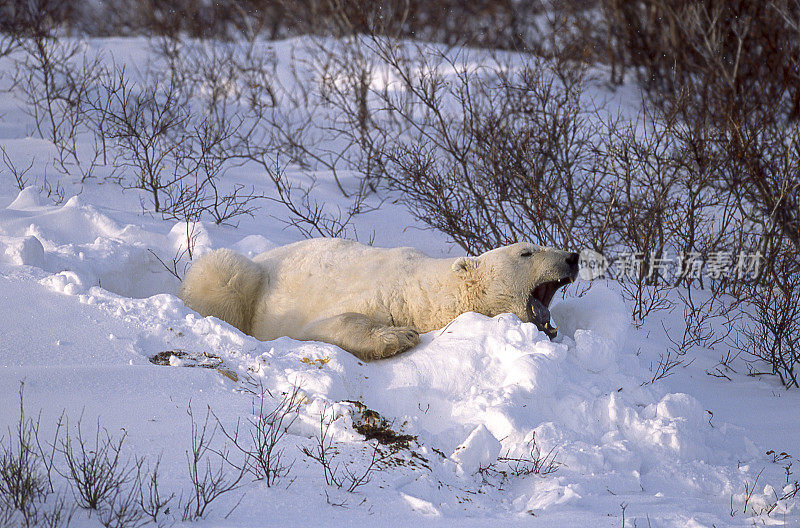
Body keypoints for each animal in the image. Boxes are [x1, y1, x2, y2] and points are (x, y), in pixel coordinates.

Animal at [180, 238, 580, 358]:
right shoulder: (384, 294)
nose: (573, 257)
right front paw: (399, 336)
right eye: (527, 252)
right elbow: (327, 324)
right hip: (247, 275)